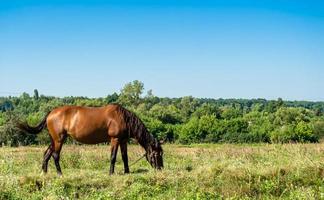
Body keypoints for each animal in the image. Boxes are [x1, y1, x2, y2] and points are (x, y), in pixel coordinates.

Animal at [17, 104, 163, 176]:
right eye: (156, 154)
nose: (160, 168)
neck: (122, 118)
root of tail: (51, 113)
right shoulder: (115, 139)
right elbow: (113, 157)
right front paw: (111, 173)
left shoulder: (123, 141)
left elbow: (124, 157)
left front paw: (127, 172)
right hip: (59, 139)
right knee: (55, 155)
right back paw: (59, 173)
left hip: (54, 140)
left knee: (47, 153)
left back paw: (45, 173)